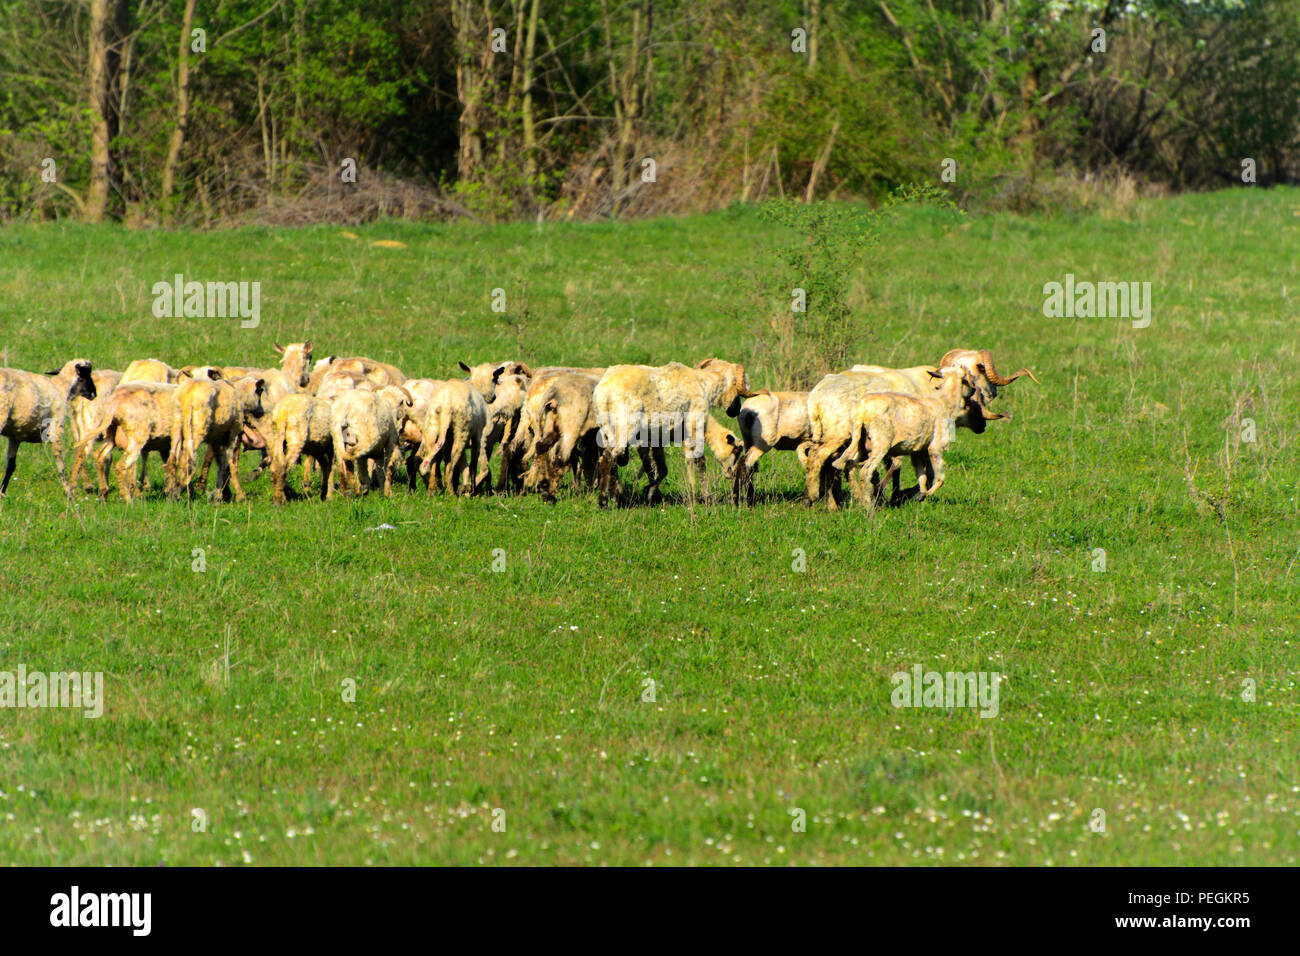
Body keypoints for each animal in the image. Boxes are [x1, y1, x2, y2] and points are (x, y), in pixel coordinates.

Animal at [0, 360, 97, 497]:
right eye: (86, 375)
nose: (95, 394)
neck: (62, 389)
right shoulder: (55, 429)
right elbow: (60, 463)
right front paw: (68, 492)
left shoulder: (15, 437)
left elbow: (10, 466)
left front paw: (2, 492)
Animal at [591, 358, 757, 506]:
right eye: (736, 450)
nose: (731, 474)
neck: (704, 385)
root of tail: (604, 392)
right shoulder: (695, 427)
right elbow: (699, 462)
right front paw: (707, 498)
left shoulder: (658, 439)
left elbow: (660, 468)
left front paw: (651, 493)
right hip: (624, 427)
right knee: (608, 458)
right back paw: (604, 500)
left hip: (606, 429)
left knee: (608, 460)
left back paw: (615, 496)